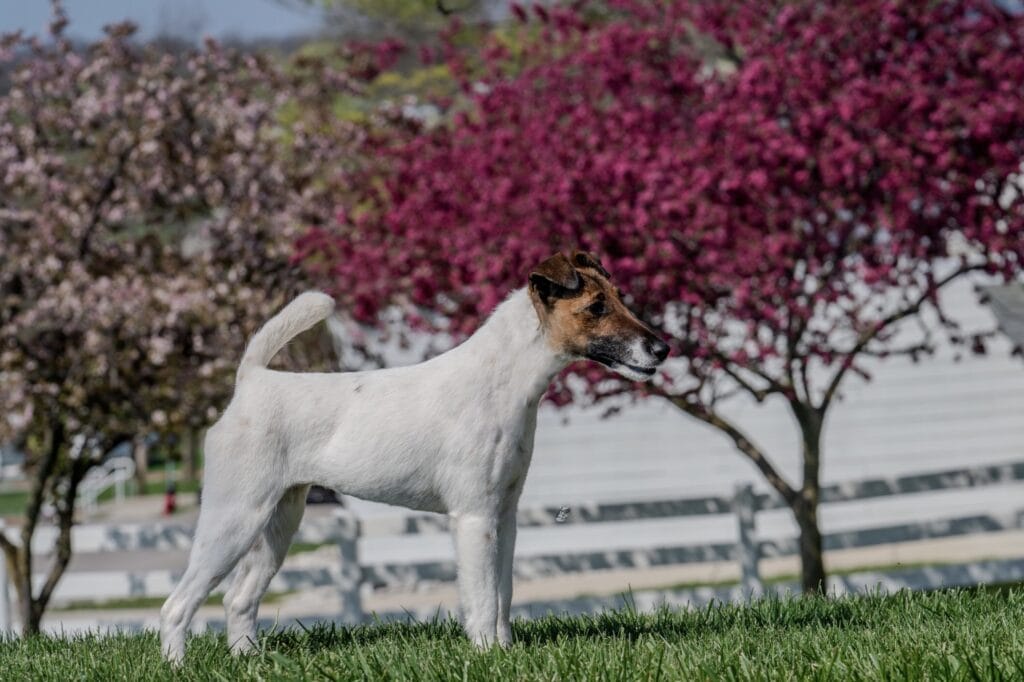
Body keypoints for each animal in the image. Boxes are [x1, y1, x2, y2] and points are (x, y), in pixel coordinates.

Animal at [157, 248, 671, 659]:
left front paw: (506, 652)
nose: (662, 348)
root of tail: (251, 381)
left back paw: (249, 661)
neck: (500, 381)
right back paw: (178, 664)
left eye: (619, 296)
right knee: (176, 606)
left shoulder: (504, 516)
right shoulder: (474, 518)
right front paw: (487, 656)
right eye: (596, 306)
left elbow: (503, 595)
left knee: (238, 601)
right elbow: (482, 600)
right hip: (233, 519)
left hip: (278, 524)